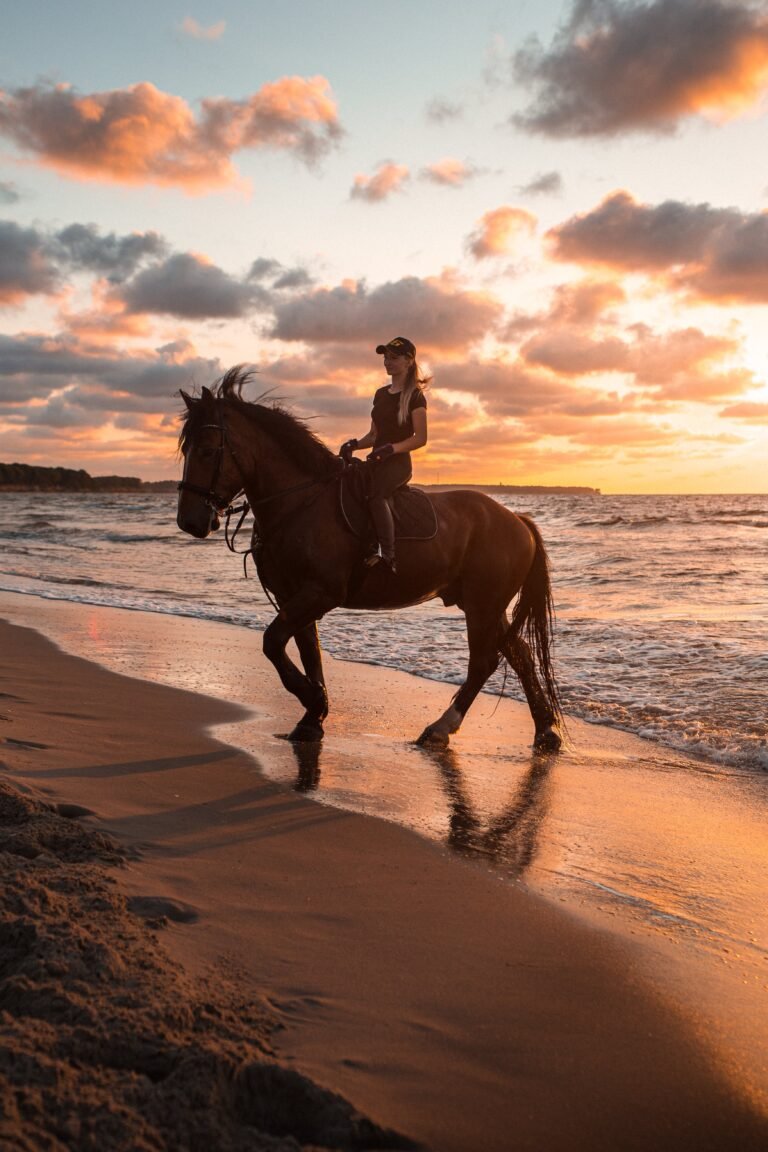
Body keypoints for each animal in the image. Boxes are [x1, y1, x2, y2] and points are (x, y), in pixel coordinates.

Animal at [178, 364, 564, 751]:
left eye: (208, 451)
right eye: (186, 450)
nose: (190, 521)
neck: (300, 504)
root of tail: (517, 521)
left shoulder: (320, 593)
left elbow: (272, 642)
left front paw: (313, 700)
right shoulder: (293, 596)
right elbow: (308, 653)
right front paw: (312, 718)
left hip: (483, 604)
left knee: (485, 661)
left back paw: (441, 727)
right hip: (482, 604)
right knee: (520, 655)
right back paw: (546, 731)